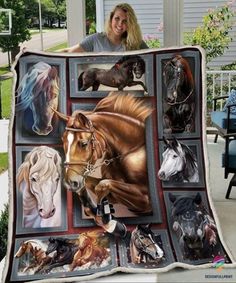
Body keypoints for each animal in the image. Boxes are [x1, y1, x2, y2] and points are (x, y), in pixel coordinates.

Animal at [54, 92, 152, 225]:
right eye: (63, 142)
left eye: (83, 143)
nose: (69, 183)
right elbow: (91, 183)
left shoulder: (144, 197)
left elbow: (102, 185)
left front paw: (101, 212)